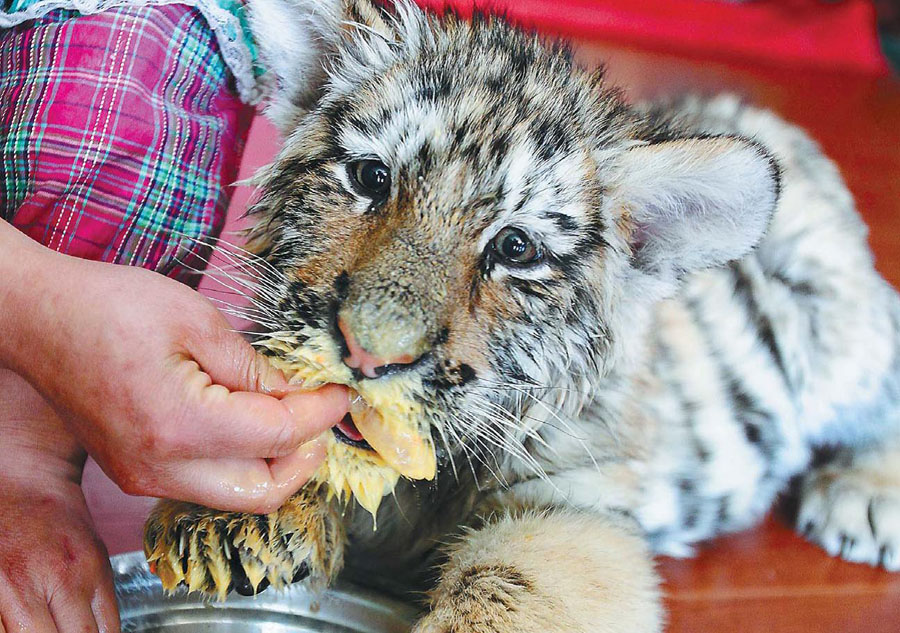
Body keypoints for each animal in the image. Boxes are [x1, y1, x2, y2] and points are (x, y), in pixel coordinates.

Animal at [142, 1, 900, 631]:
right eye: (371, 178)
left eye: (516, 248)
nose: (367, 354)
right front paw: (226, 514)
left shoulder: (572, 506)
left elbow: (512, 587)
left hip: (840, 330)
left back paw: (864, 497)